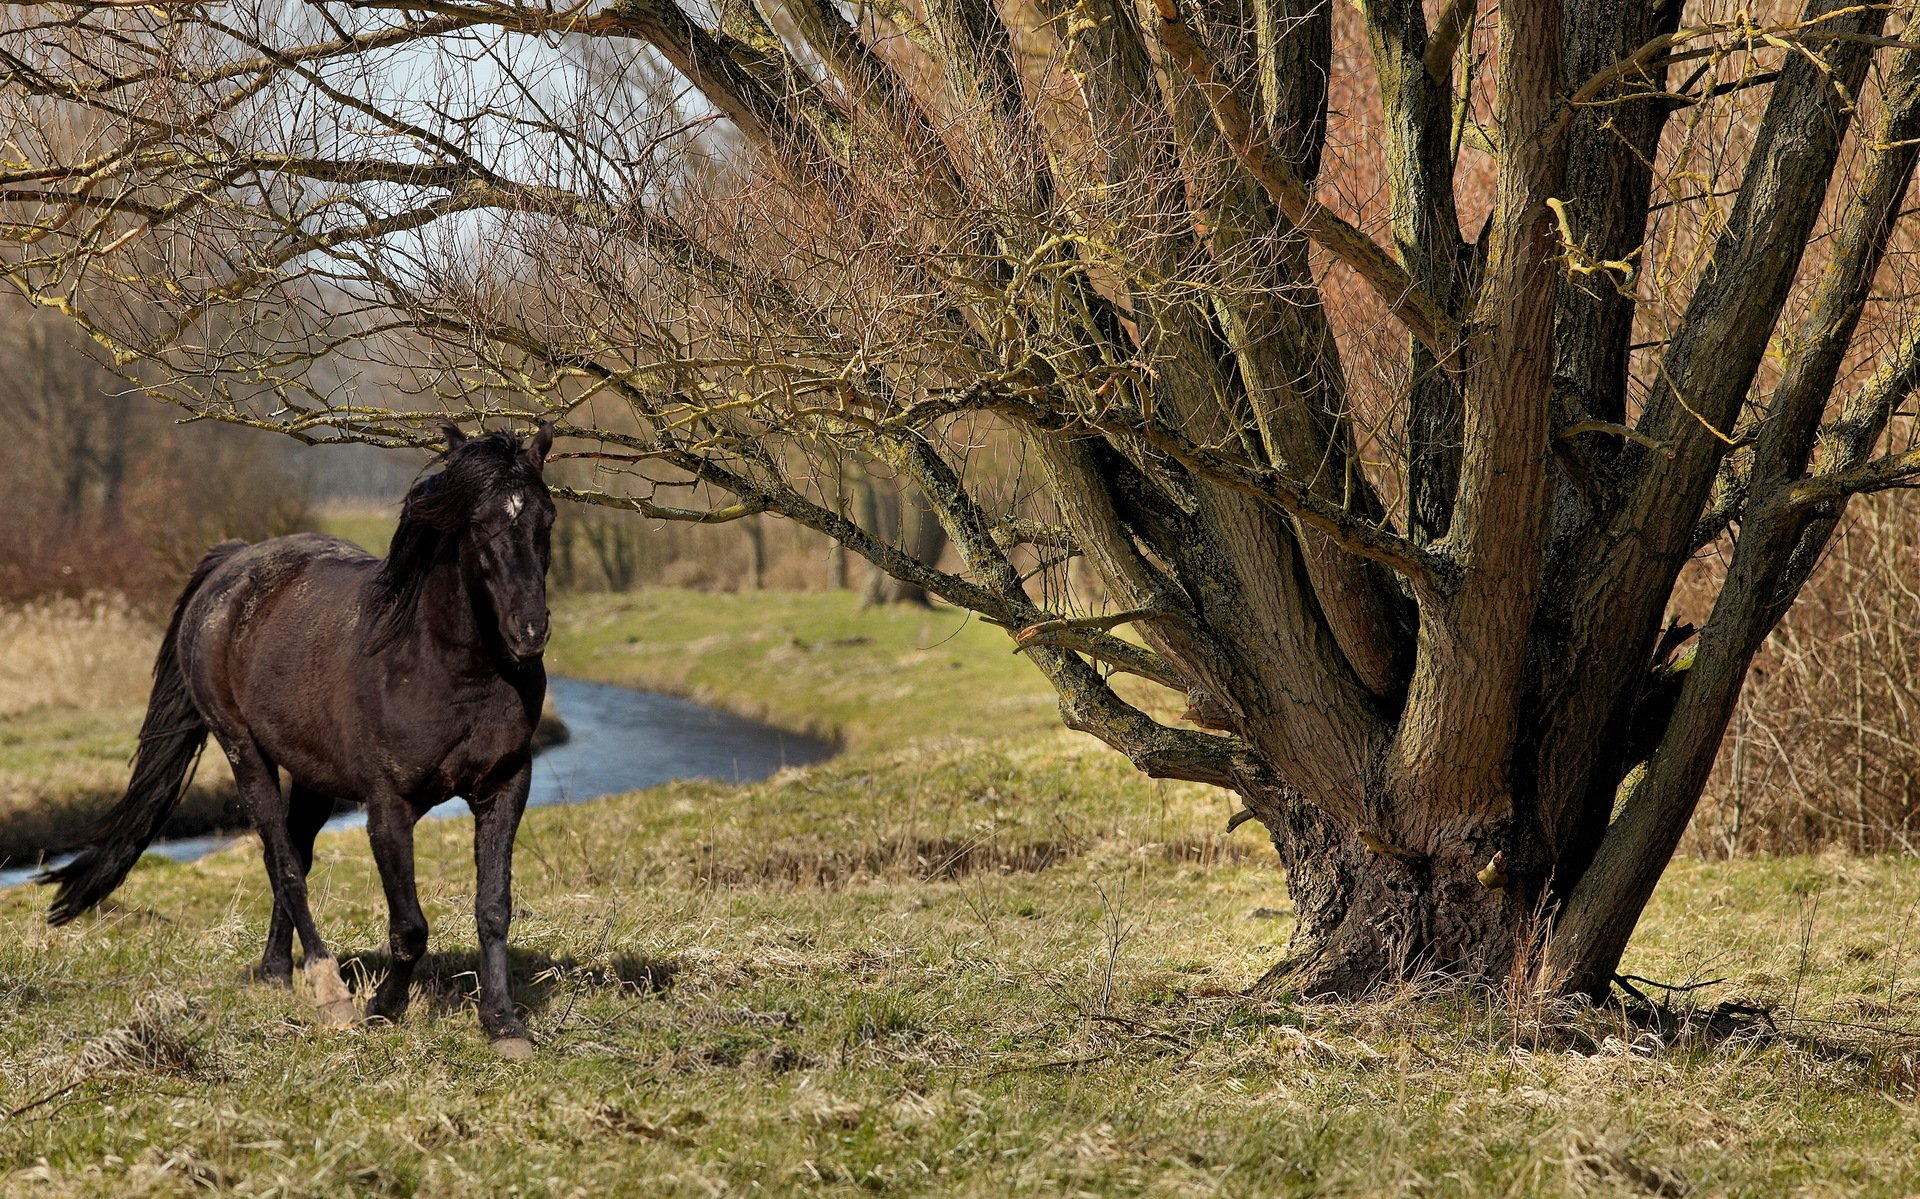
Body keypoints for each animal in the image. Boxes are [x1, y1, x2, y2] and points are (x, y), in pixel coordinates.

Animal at [41, 424, 560, 1060]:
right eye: (480, 523)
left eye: (547, 517)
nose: (528, 633)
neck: (446, 666)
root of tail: (234, 562)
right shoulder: (388, 807)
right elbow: (409, 925)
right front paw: (382, 1009)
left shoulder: (505, 788)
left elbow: (493, 908)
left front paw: (504, 1025)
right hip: (245, 753)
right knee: (283, 861)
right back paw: (328, 991)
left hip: (313, 777)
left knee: (291, 856)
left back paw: (275, 972)